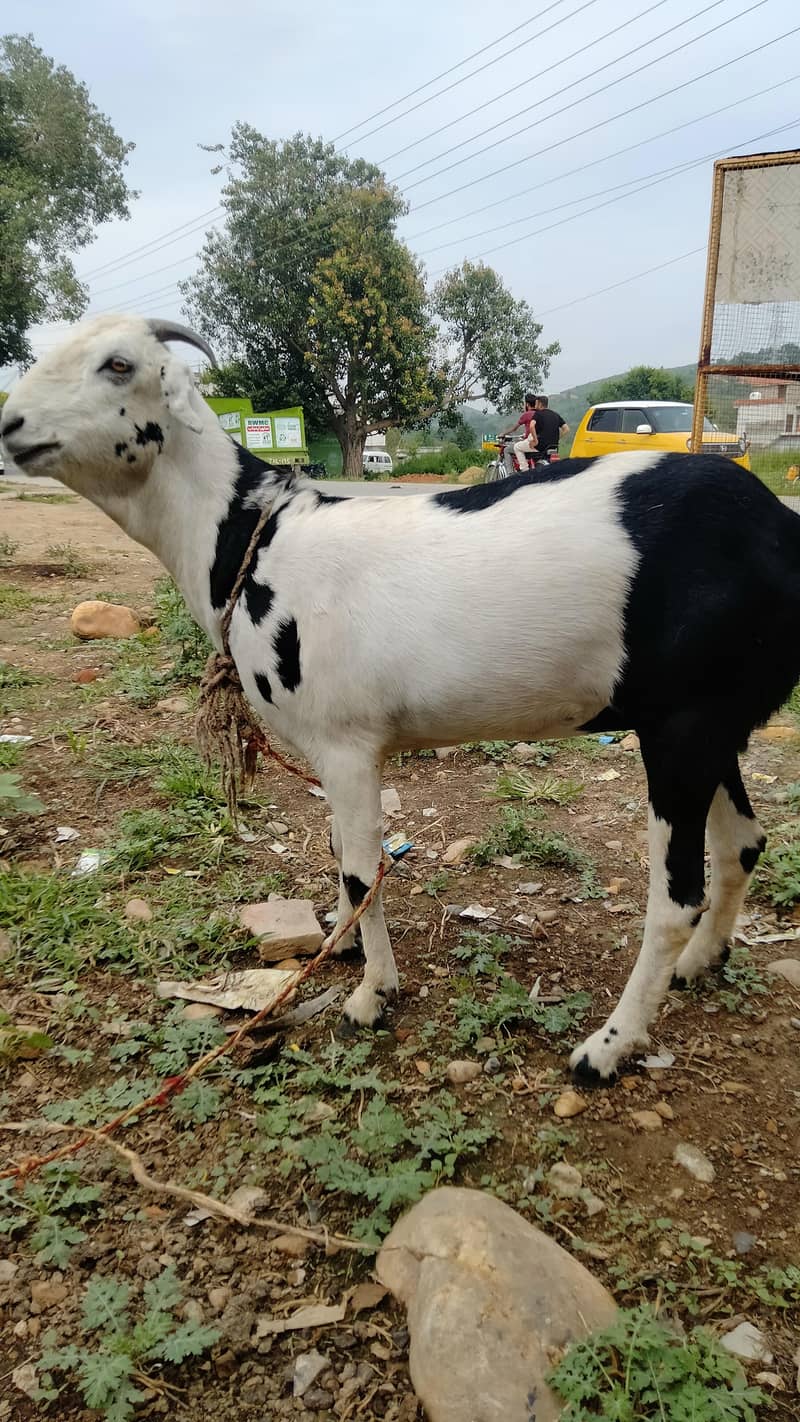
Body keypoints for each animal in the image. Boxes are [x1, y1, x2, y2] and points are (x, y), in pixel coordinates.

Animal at [3, 315, 799, 1084]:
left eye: (119, 365)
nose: (11, 423)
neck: (257, 541)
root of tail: (780, 531)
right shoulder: (334, 754)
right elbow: (337, 852)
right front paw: (344, 947)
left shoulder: (346, 743)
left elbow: (360, 869)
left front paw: (372, 995)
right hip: (712, 721)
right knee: (744, 843)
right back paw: (702, 962)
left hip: (683, 726)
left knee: (676, 900)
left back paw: (606, 1048)